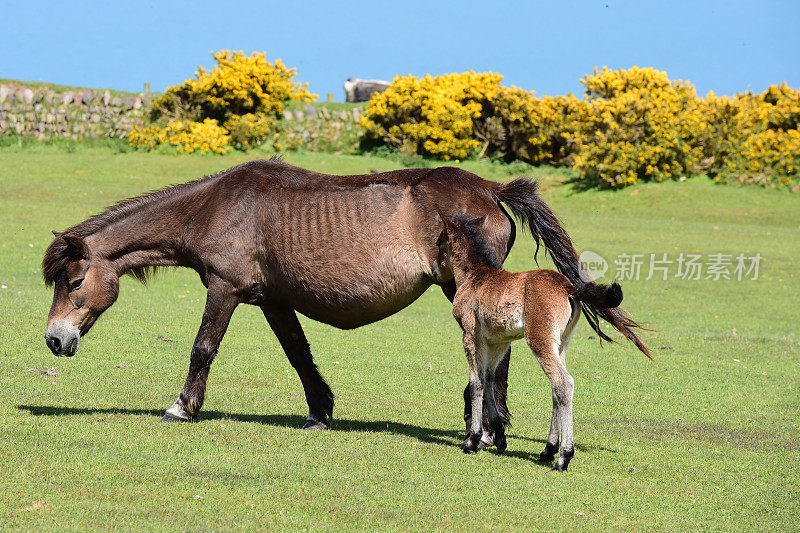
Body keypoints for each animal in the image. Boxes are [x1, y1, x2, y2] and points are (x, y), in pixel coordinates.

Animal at [42, 156, 580, 430]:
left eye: (75, 282)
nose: (54, 339)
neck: (215, 207)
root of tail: (490, 189)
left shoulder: (224, 289)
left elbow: (203, 348)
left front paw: (182, 407)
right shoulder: (273, 301)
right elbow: (299, 354)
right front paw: (320, 411)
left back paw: (490, 429)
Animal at [432, 212, 648, 470]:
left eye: (439, 242)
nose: (433, 270)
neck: (475, 276)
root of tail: (568, 287)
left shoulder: (470, 335)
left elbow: (476, 383)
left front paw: (472, 441)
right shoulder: (498, 341)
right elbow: (489, 379)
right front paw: (500, 438)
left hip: (539, 340)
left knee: (563, 383)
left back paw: (563, 456)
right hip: (560, 344)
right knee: (556, 387)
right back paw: (548, 450)